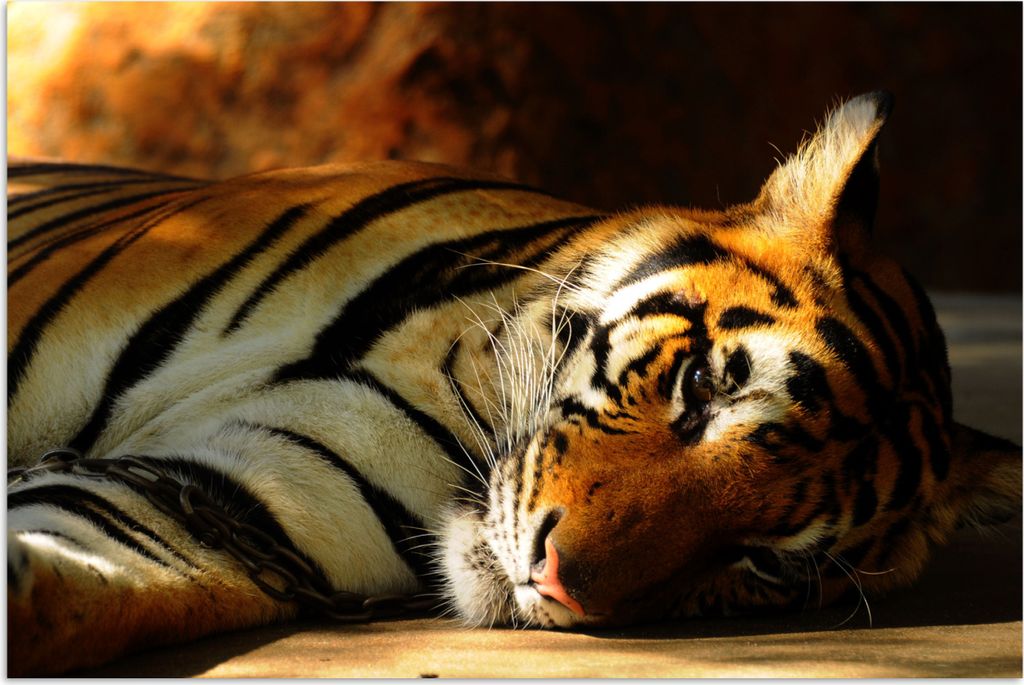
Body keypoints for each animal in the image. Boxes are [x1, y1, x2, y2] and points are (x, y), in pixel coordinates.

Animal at [7, 92, 1020, 676]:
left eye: (766, 558)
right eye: (700, 385)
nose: (556, 579)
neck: (456, 399)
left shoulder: (234, 502)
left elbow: (89, 585)